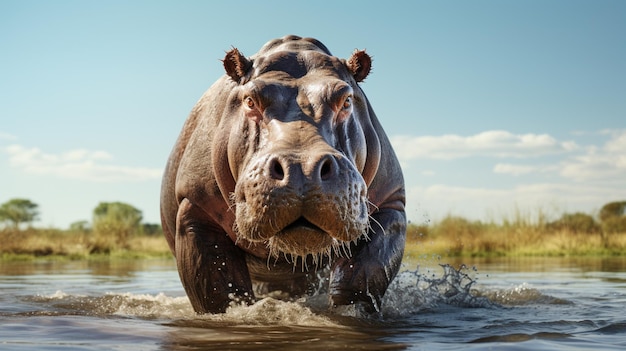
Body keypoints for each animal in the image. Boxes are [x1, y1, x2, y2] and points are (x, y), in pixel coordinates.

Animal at [161, 35, 404, 316]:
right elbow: (218, 290)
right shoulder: (195, 206)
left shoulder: (392, 201)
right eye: (250, 100)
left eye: (346, 100)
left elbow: (364, 275)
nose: (302, 168)